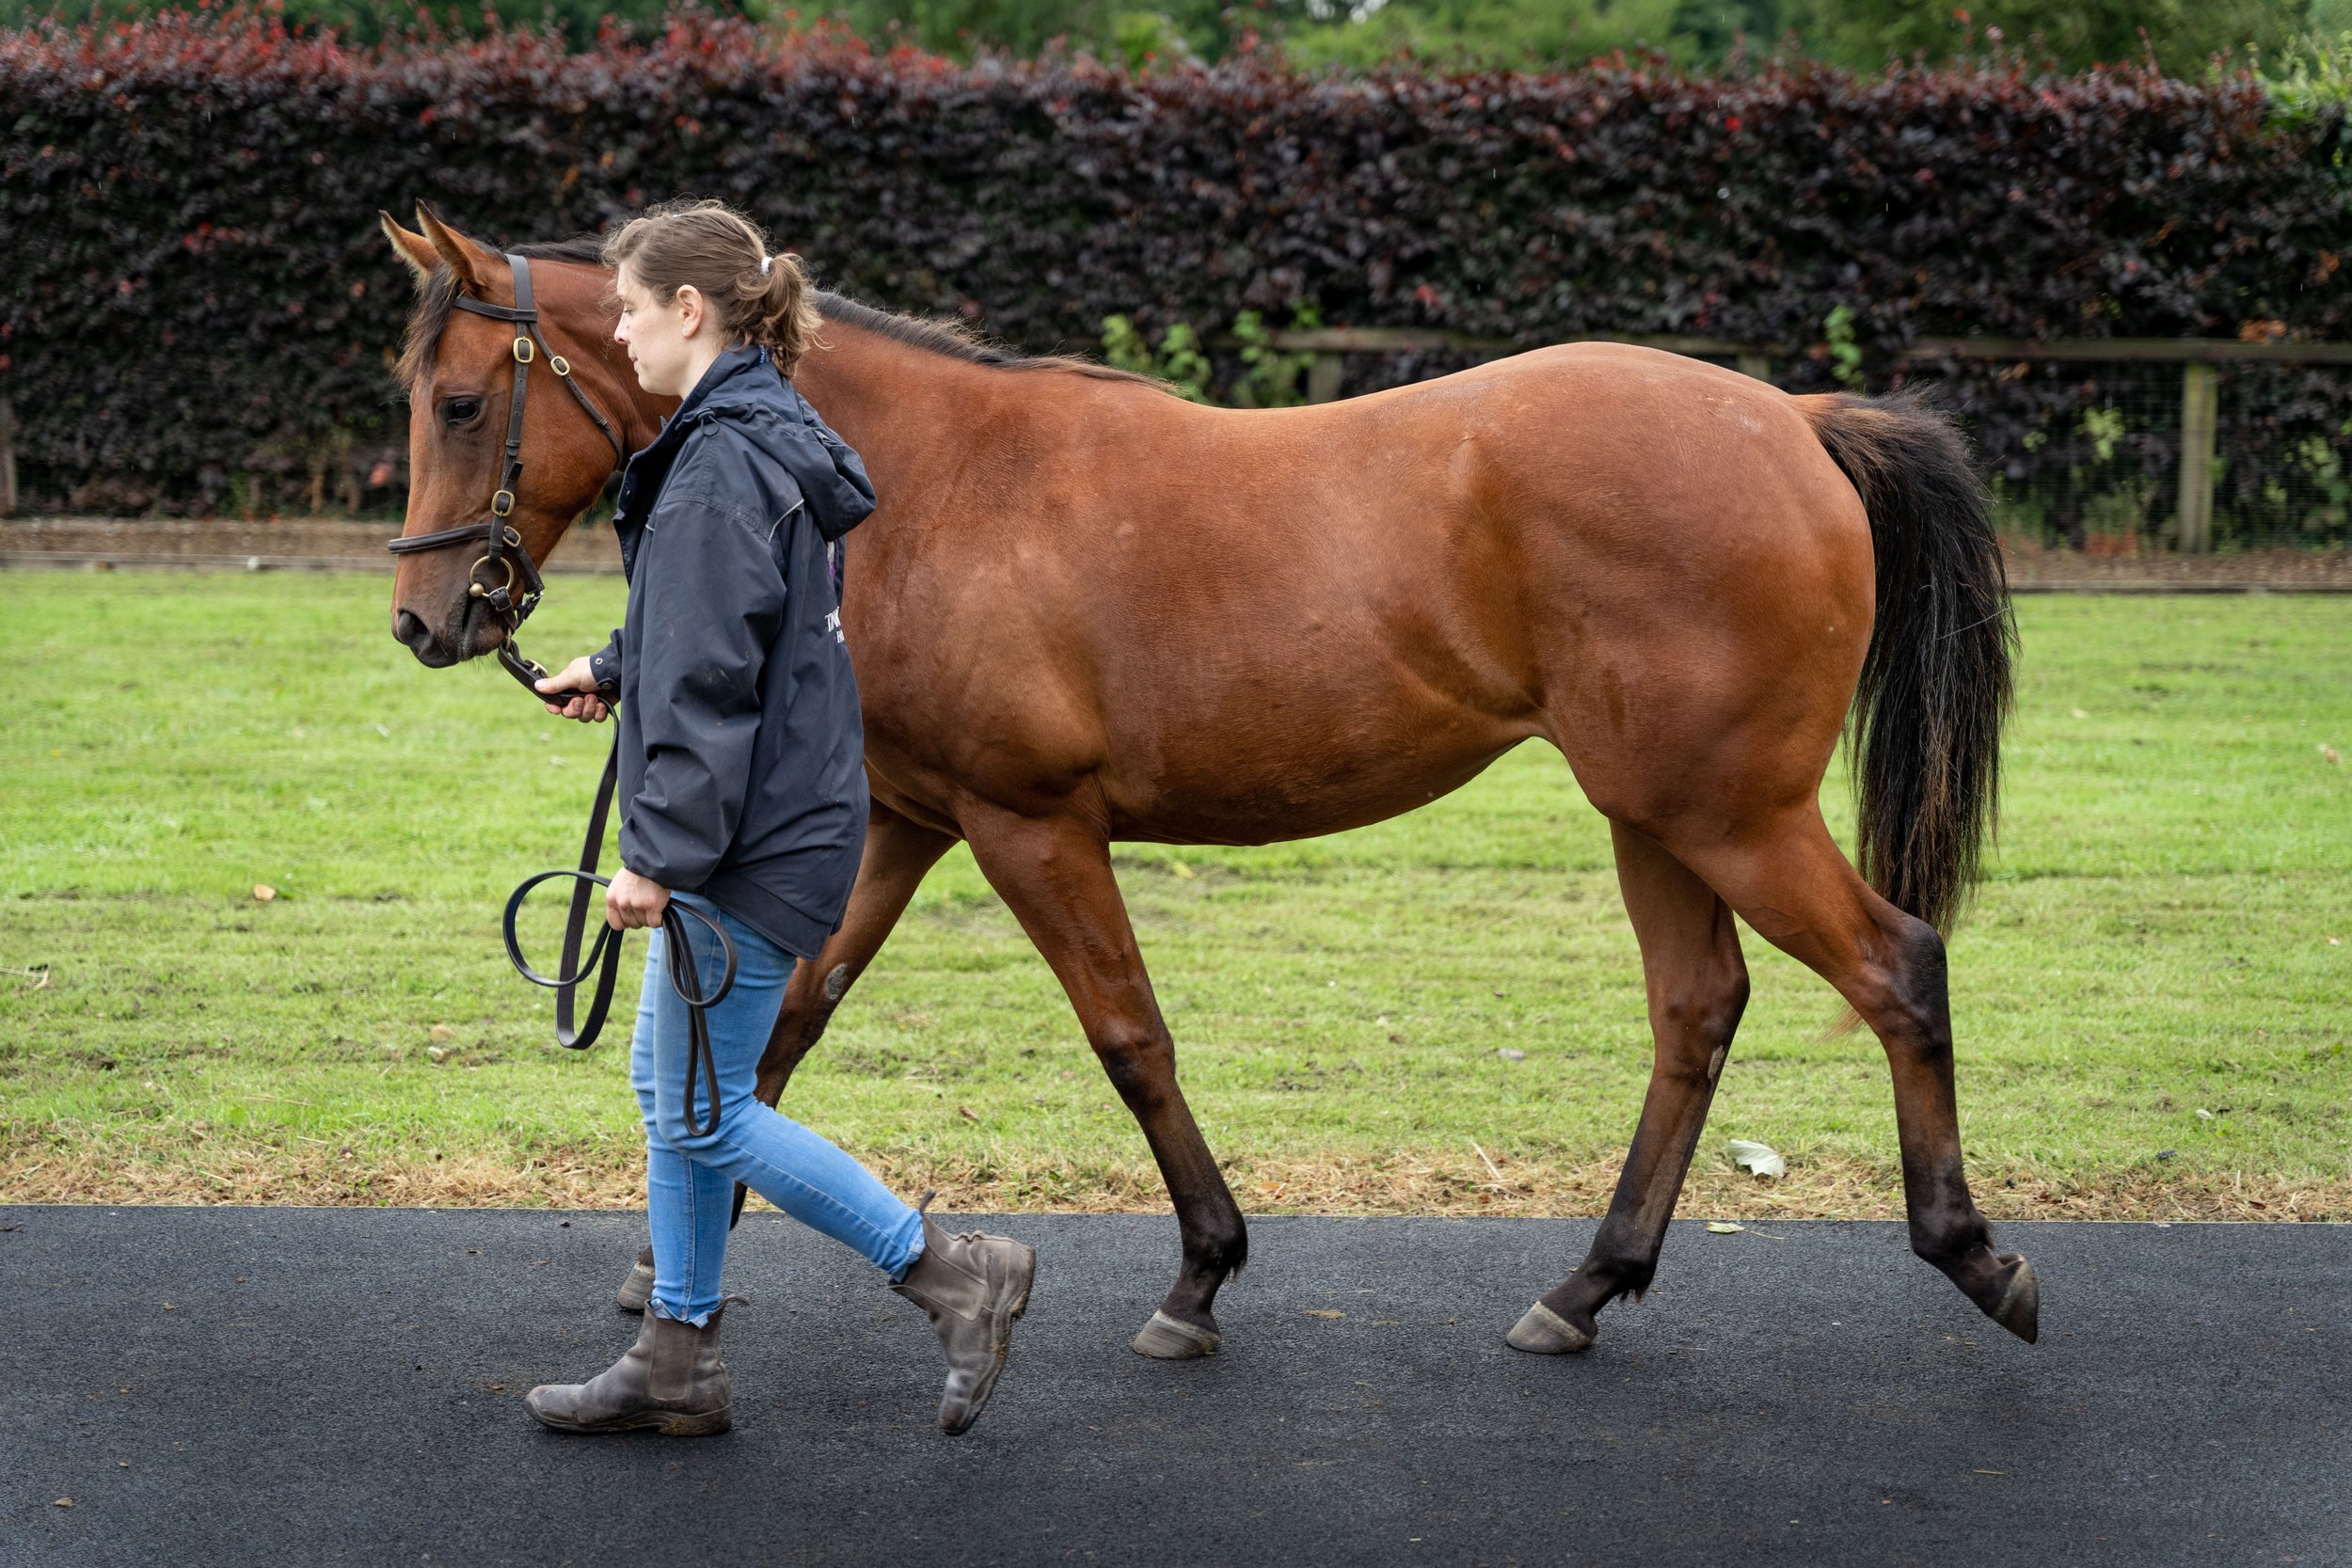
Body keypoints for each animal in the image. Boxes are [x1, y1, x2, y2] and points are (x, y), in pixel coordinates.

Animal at [386, 205, 2042, 1363]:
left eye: (461, 402)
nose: (425, 619)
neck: (919, 481)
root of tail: (1796, 420)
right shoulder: (907, 821)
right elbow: (788, 1017)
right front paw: (676, 1239)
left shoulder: (1031, 823)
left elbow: (1130, 1037)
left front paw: (1200, 1269)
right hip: (1656, 813)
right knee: (1697, 1012)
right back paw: (1584, 1286)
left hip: (1730, 813)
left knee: (1897, 966)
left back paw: (1971, 1249)